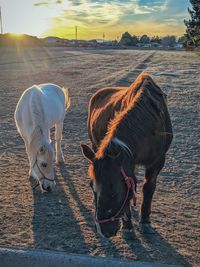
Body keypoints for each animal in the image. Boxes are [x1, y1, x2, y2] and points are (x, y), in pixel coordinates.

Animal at [80, 73, 173, 239]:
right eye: (92, 187)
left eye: (114, 194)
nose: (103, 232)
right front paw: (128, 225)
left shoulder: (157, 161)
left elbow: (148, 188)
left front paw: (145, 222)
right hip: (94, 145)